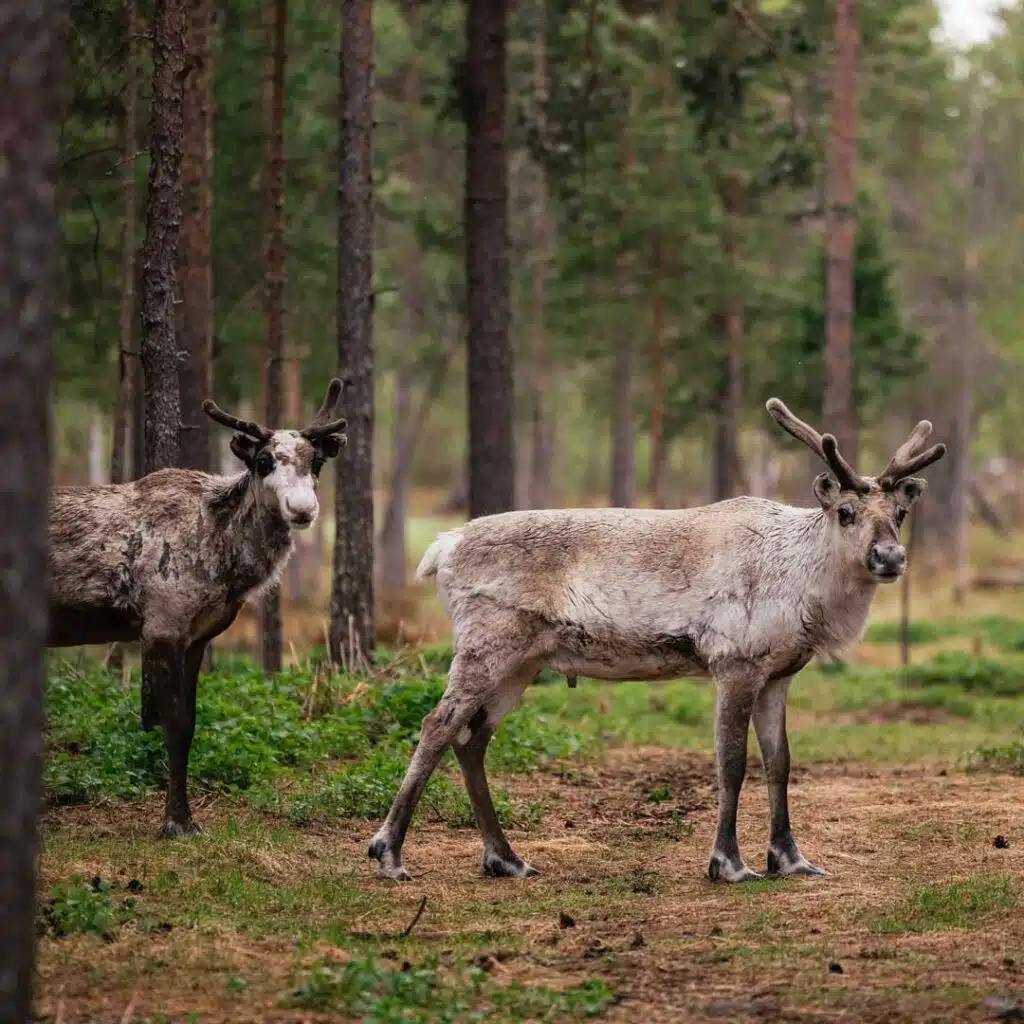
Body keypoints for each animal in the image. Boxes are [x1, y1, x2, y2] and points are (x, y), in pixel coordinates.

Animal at [48, 379, 348, 838]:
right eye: (263, 460)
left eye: (315, 460)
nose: (302, 509)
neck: (224, 559)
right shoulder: (162, 628)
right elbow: (173, 726)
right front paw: (176, 821)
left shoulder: (196, 638)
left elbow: (189, 724)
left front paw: (185, 818)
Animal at [368, 399, 945, 883]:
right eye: (846, 513)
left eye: (899, 514)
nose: (889, 557)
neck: (800, 580)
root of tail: (443, 548)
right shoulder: (734, 663)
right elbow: (731, 762)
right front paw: (729, 864)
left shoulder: (778, 673)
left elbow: (780, 763)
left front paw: (791, 859)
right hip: (487, 643)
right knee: (437, 724)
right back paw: (389, 853)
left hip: (522, 663)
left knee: (473, 739)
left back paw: (505, 858)